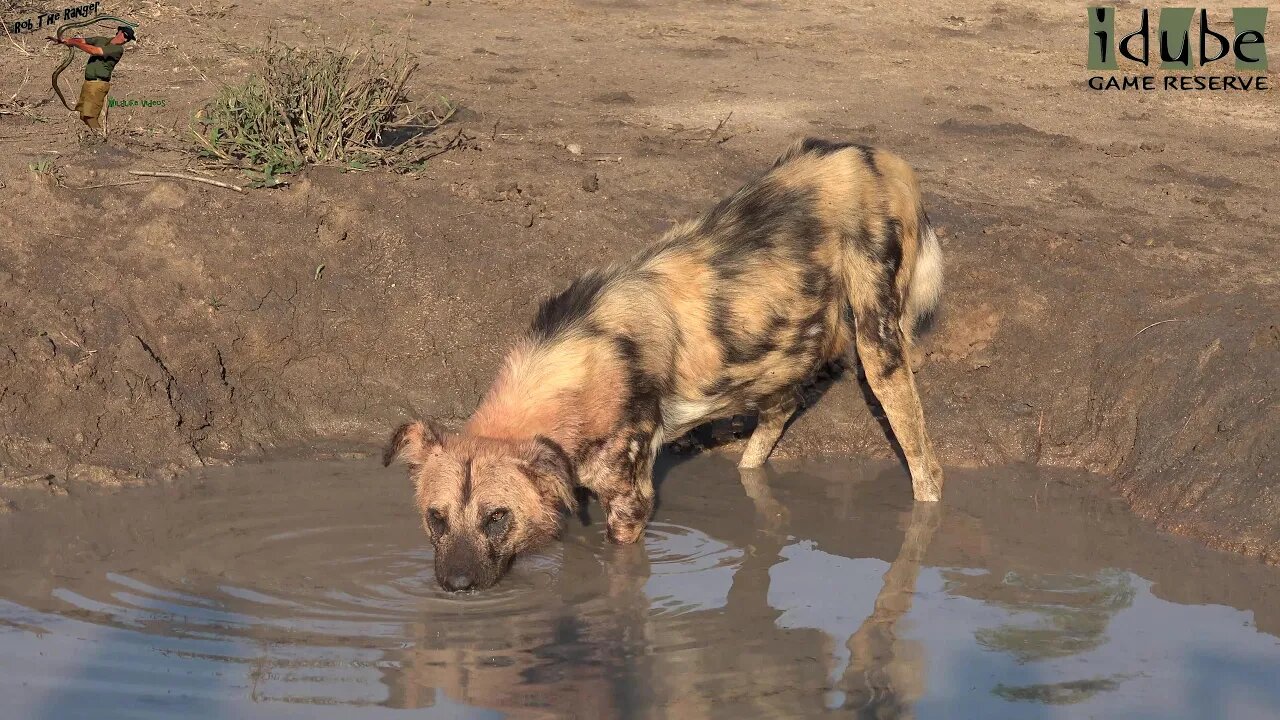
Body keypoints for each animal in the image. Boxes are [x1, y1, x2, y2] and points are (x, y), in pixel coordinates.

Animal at [378, 139, 942, 589]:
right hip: (776, 352)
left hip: (878, 344)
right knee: (779, 413)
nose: (456, 584)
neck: (581, 363)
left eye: (497, 518)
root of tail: (874, 155)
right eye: (436, 519)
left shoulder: (630, 505)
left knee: (924, 463)